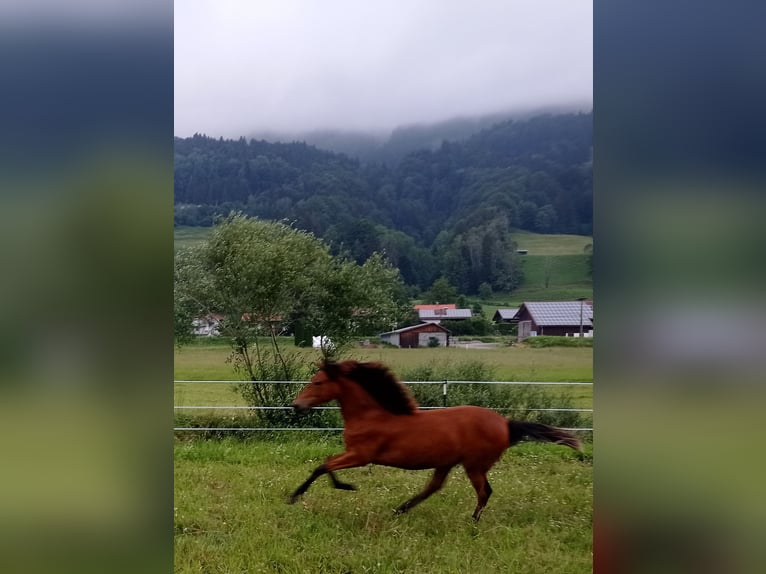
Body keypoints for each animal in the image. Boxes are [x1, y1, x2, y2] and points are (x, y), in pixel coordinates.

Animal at [288, 362, 584, 524]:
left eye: (318, 382)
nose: (296, 405)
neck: (372, 415)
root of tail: (506, 424)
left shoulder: (360, 455)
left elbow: (323, 466)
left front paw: (300, 495)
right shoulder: (354, 454)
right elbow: (325, 465)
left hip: (474, 466)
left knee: (484, 492)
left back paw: (472, 523)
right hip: (447, 463)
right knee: (434, 488)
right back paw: (399, 510)